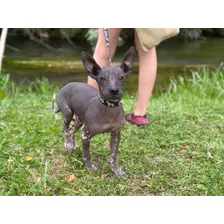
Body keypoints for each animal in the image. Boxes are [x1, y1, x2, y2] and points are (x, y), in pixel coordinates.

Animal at [52, 46, 136, 178]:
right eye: (102, 78)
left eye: (121, 77)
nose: (114, 90)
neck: (109, 107)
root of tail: (68, 84)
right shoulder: (85, 135)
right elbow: (87, 154)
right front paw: (90, 168)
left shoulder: (116, 134)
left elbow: (114, 156)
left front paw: (116, 171)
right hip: (68, 114)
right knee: (65, 129)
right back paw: (68, 145)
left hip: (79, 120)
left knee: (71, 131)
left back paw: (72, 144)